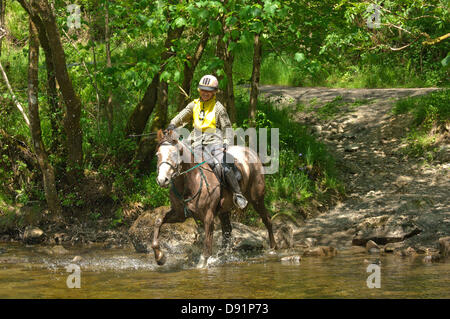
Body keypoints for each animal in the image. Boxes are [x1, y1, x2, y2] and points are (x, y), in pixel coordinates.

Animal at [153, 129, 276, 268]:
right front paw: (160, 257)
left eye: (175, 154)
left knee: (267, 220)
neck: (189, 182)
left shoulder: (208, 216)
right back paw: (222, 255)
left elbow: (207, 243)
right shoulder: (179, 214)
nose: (162, 180)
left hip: (257, 199)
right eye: (157, 155)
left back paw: (273, 248)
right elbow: (158, 221)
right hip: (224, 209)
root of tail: (251, 152)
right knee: (227, 230)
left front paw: (202, 263)